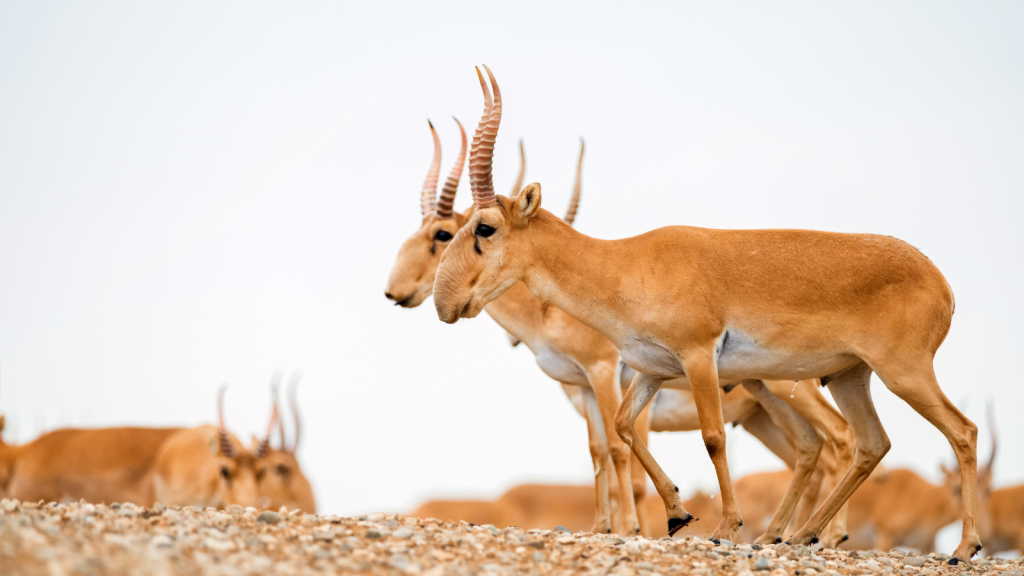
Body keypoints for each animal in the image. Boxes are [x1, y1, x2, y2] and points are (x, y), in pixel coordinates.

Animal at [430, 66, 974, 561]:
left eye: (483, 226)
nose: (444, 302)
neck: (625, 263)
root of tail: (941, 282)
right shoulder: (651, 370)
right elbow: (624, 428)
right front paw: (677, 513)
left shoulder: (697, 357)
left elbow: (712, 438)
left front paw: (724, 527)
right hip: (848, 376)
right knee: (870, 444)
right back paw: (801, 535)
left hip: (901, 373)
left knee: (959, 431)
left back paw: (963, 548)